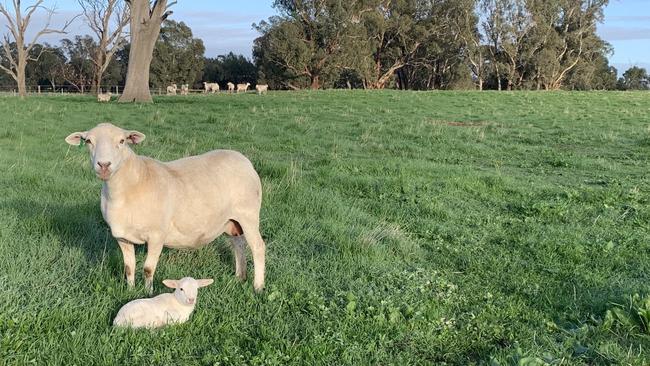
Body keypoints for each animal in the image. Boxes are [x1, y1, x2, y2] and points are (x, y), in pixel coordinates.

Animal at [65, 124, 266, 294]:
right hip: (231, 220)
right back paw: (239, 277)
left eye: (122, 141)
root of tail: (244, 160)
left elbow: (148, 268)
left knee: (257, 247)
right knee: (238, 244)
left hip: (248, 214)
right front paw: (130, 290)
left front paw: (148, 293)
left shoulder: (156, 235)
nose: (104, 165)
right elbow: (129, 267)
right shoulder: (122, 237)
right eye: (88, 141)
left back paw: (258, 286)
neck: (131, 184)